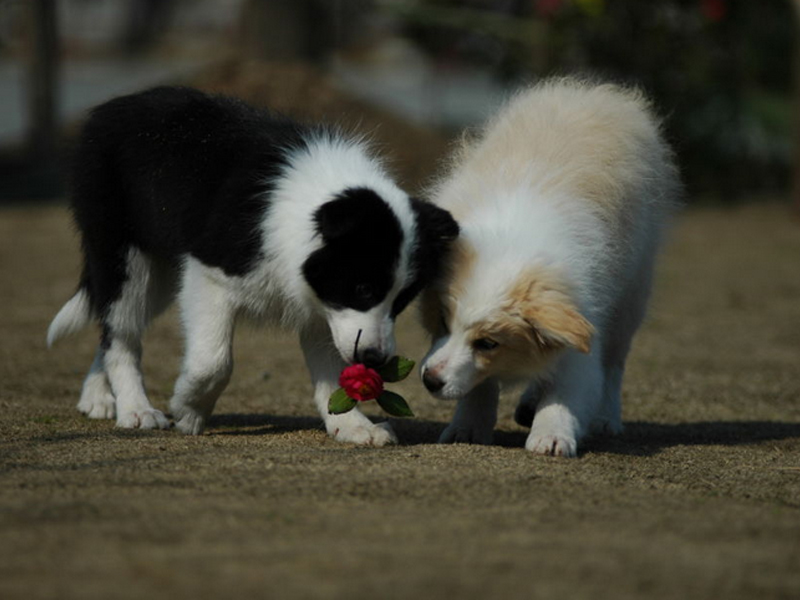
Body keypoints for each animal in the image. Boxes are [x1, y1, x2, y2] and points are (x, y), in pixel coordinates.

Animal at [50, 85, 460, 446]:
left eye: (402, 301)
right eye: (363, 288)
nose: (375, 359)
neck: (314, 206)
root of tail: (112, 107)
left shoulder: (324, 302)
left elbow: (333, 368)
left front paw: (352, 426)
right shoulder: (209, 273)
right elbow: (214, 361)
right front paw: (189, 409)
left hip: (161, 274)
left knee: (110, 323)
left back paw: (98, 397)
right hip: (124, 254)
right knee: (121, 328)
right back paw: (135, 410)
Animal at [422, 78, 680, 454]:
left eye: (488, 343)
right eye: (442, 322)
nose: (429, 380)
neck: (513, 242)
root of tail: (596, 93)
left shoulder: (583, 316)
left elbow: (567, 387)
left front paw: (552, 433)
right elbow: (480, 385)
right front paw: (467, 427)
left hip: (630, 298)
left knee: (614, 365)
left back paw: (606, 418)